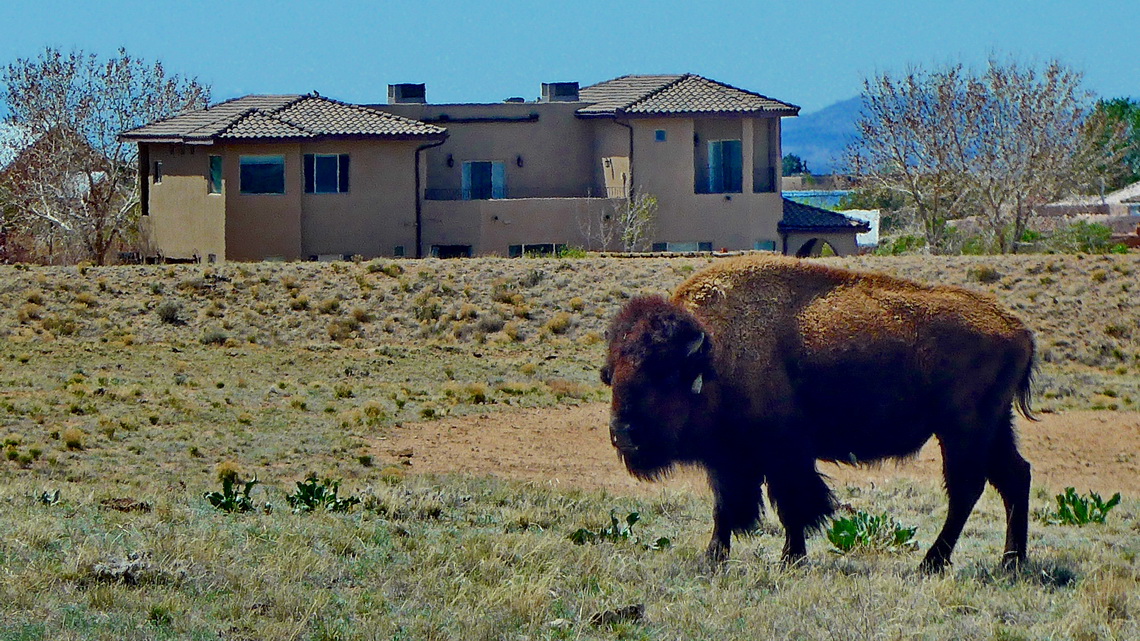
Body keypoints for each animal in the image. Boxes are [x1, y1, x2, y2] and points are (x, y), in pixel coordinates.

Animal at [601, 254, 1039, 568]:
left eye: (663, 373)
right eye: (610, 374)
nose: (623, 433)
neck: (712, 355)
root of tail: (1017, 329)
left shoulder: (784, 454)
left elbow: (793, 506)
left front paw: (790, 560)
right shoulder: (729, 460)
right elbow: (725, 508)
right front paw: (713, 557)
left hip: (963, 430)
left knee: (967, 488)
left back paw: (931, 563)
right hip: (993, 428)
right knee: (1014, 477)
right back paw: (1011, 562)